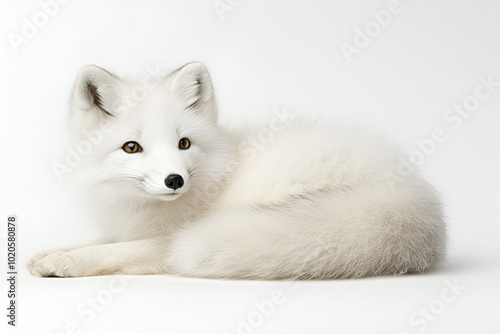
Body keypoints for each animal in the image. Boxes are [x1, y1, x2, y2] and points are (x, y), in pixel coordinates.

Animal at [27, 62, 446, 280]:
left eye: (183, 144)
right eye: (133, 147)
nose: (174, 180)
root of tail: (417, 197)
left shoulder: (164, 242)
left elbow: (112, 252)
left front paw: (65, 263)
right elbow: (94, 241)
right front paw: (47, 253)